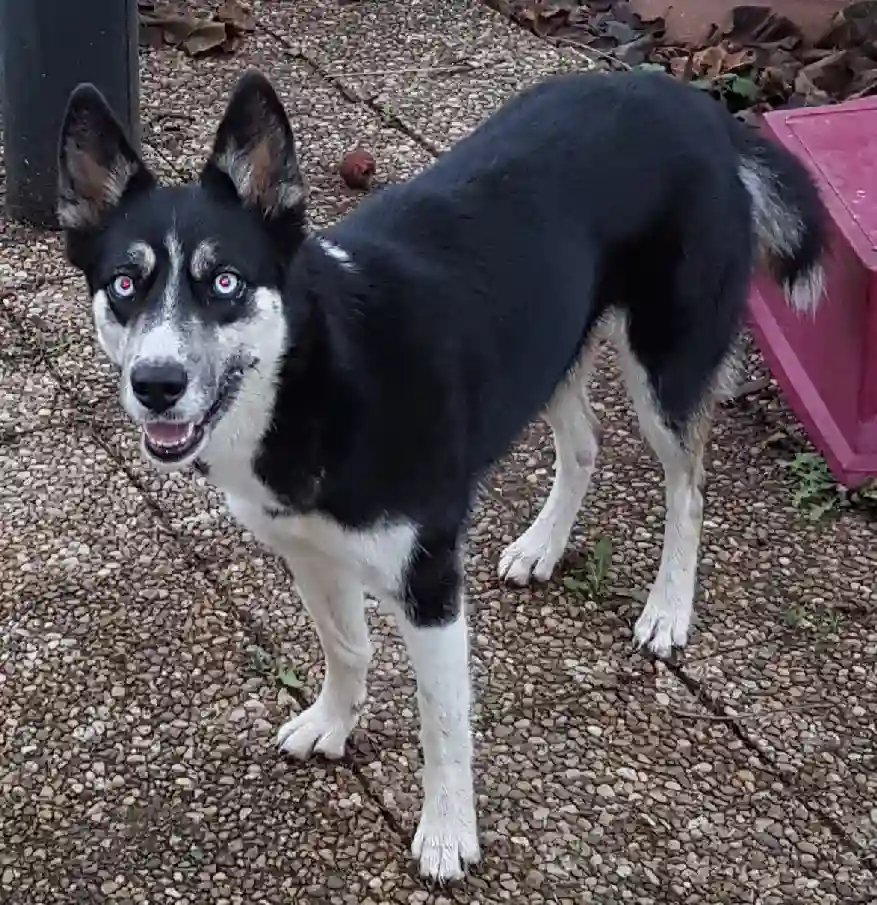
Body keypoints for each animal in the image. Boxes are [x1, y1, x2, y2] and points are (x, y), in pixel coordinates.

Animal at [58, 67, 824, 880]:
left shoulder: (428, 582)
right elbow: (346, 647)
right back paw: (541, 546)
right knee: (584, 443)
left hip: (666, 366)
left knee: (688, 486)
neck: (316, 376)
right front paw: (334, 722)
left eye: (226, 282)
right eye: (124, 286)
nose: (156, 383)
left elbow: (443, 718)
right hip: (548, 341)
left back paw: (668, 608)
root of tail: (697, 107)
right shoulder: (309, 552)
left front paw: (448, 831)